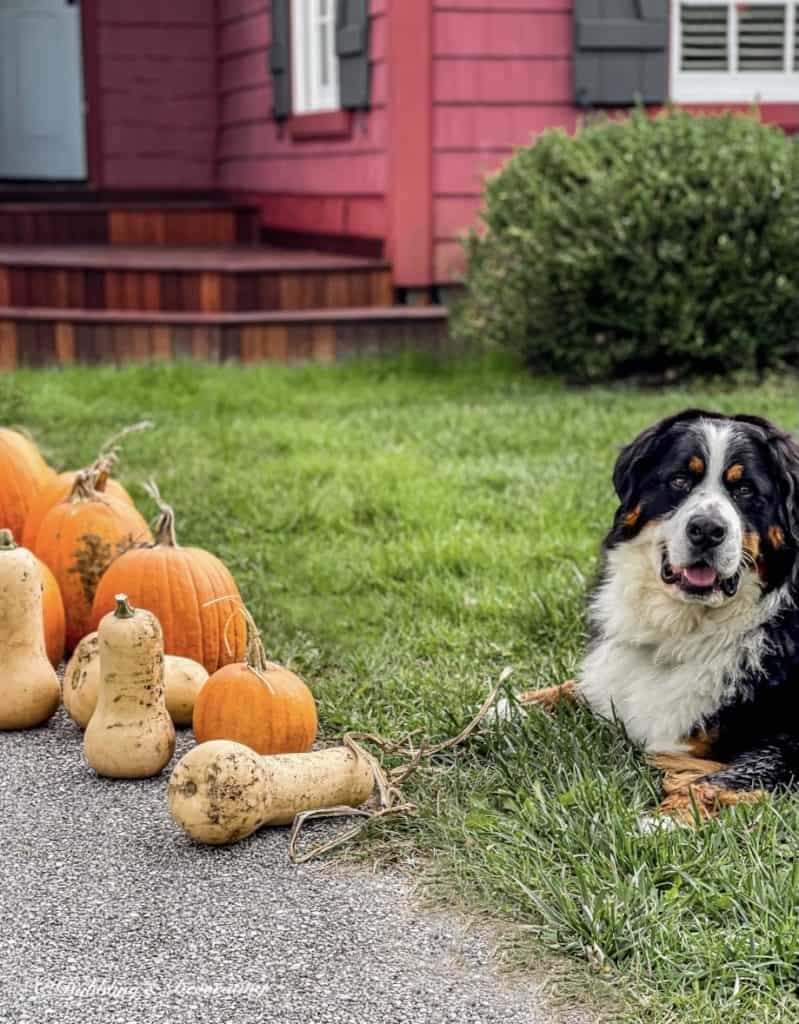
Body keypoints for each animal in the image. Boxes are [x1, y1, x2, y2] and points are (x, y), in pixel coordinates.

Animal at [508, 411, 799, 819]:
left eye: (744, 490)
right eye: (679, 480)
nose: (707, 529)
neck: (686, 627)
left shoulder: (788, 744)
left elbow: (721, 779)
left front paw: (661, 821)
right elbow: (579, 685)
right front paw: (504, 705)